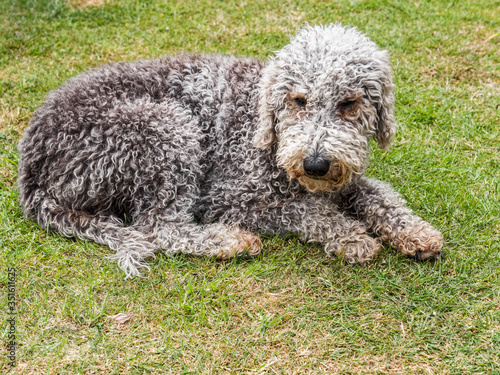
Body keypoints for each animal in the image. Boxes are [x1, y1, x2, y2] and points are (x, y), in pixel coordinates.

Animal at [17, 22, 444, 276]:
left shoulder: (345, 179)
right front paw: (350, 236)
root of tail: (32, 168)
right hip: (166, 128)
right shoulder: (228, 199)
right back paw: (227, 241)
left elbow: (380, 195)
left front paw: (414, 231)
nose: (315, 164)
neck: (267, 132)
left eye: (349, 103)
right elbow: (305, 211)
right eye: (299, 100)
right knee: (160, 228)